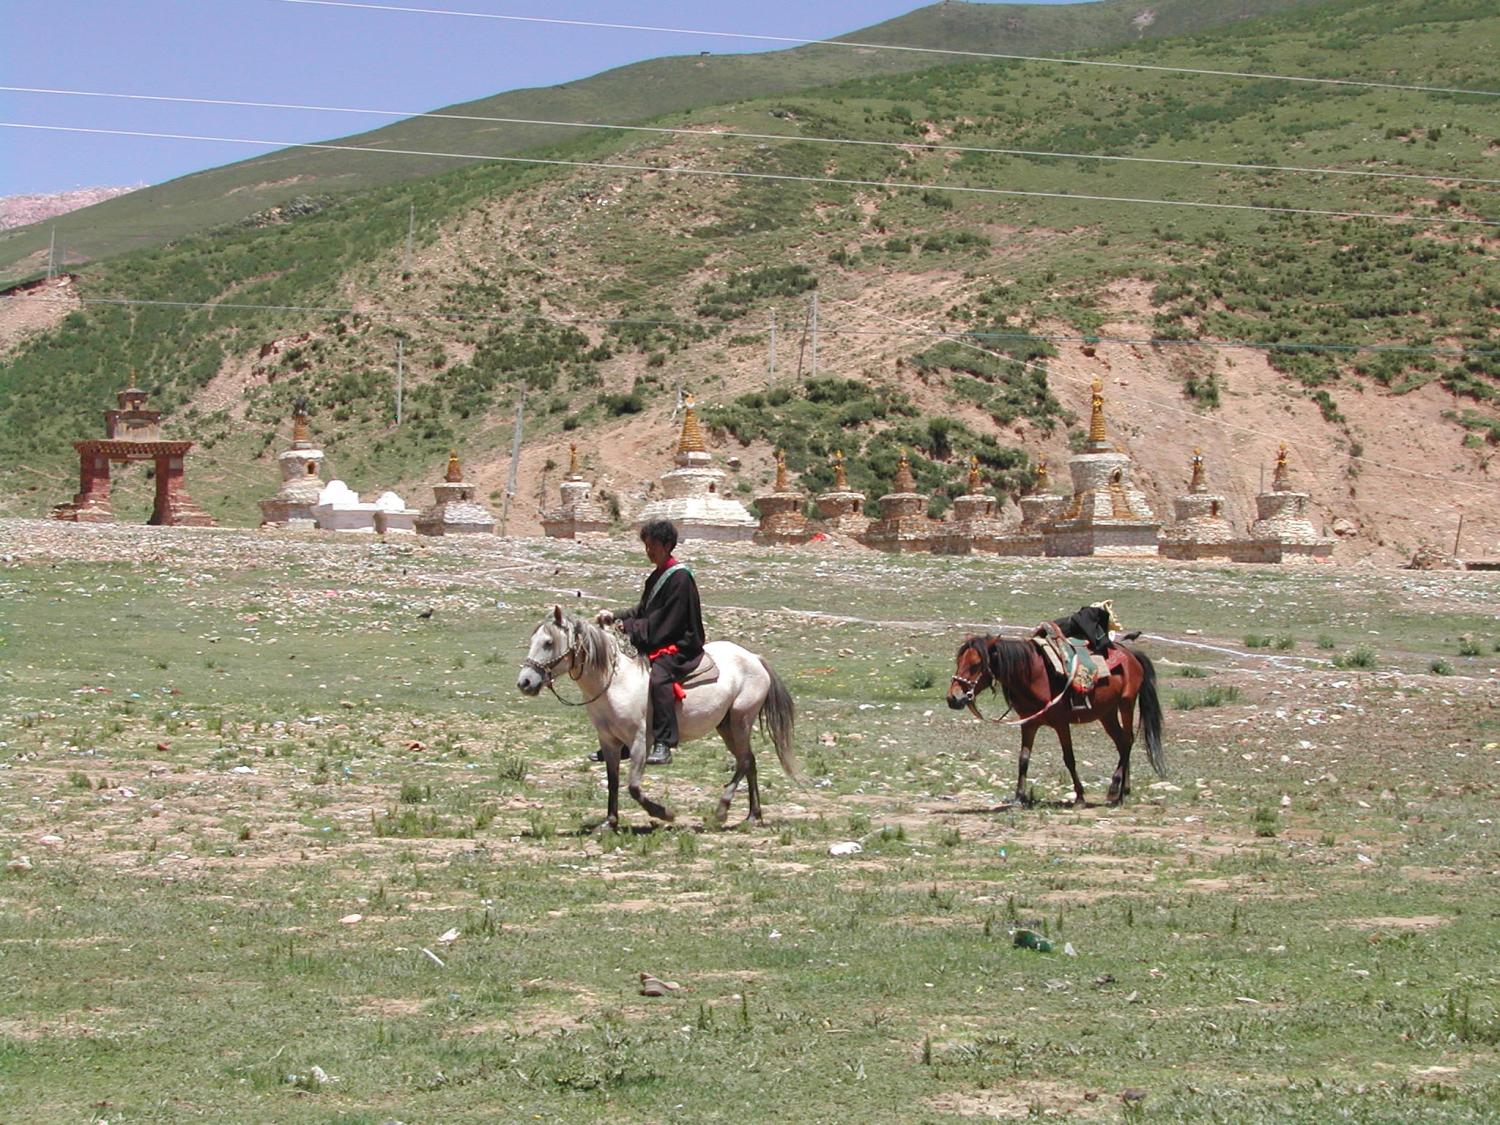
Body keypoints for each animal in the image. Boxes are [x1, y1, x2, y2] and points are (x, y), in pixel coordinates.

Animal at [516, 609, 804, 840]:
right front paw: (609, 823)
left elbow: (633, 786)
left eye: (548, 642)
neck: (614, 683)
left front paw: (664, 812)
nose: (525, 682)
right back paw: (753, 815)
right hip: (726, 727)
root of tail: (755, 658)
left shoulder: (640, 741)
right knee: (750, 761)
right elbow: (613, 782)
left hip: (741, 721)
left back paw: (721, 811)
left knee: (744, 762)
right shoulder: (608, 742)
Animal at [942, 636, 1164, 810]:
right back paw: (1123, 791)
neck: (1035, 675)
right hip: (1106, 713)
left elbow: (1069, 759)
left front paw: (1080, 797)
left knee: (1127, 741)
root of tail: (1131, 655)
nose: (953, 698)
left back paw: (1114, 789)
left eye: (975, 665)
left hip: (1126, 704)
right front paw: (1019, 797)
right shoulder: (1029, 724)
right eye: (958, 661)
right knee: (1121, 743)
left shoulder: (1061, 724)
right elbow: (1023, 759)